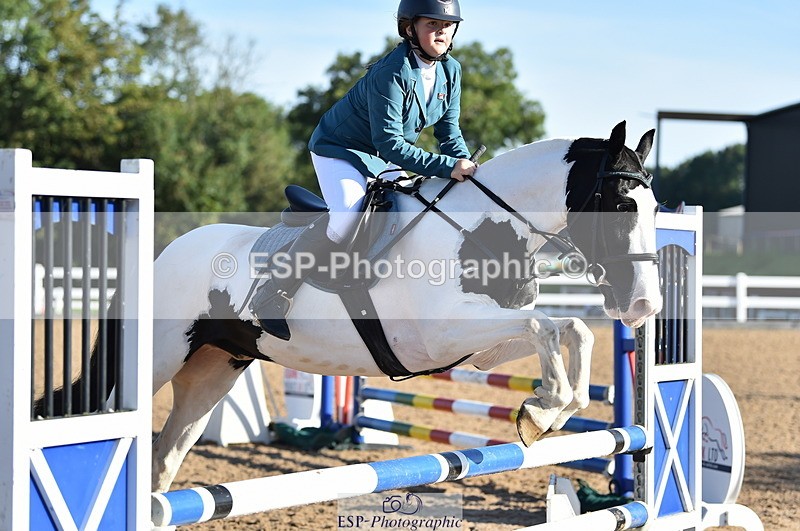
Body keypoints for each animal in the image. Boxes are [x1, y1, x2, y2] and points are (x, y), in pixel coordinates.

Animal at [149, 121, 662, 492]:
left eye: (656, 207)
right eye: (621, 205)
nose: (644, 303)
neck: (482, 229)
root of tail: (169, 250)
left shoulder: (482, 349)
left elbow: (573, 327)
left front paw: (553, 410)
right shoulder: (445, 334)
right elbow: (545, 326)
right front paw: (542, 409)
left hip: (213, 369)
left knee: (164, 457)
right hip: (163, 357)